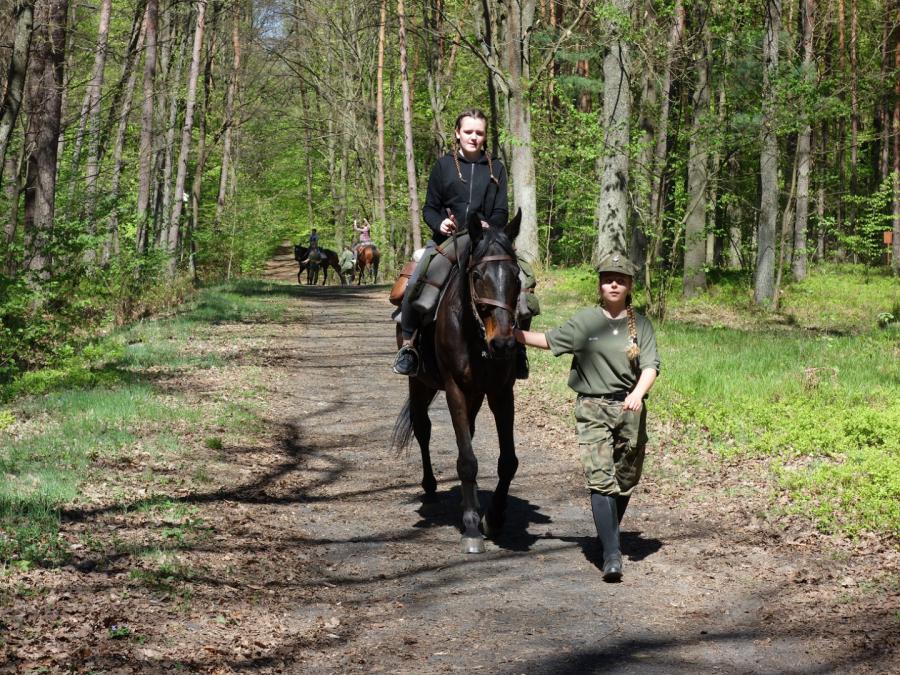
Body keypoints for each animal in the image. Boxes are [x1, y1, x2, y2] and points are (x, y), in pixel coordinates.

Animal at [391, 210, 522, 554]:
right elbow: (467, 461)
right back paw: (430, 487)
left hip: (475, 395)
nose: (503, 344)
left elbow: (508, 461)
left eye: (517, 276)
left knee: (469, 432)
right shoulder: (455, 390)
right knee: (422, 428)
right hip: (420, 383)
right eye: (477, 276)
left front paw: (494, 519)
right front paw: (472, 528)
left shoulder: (501, 393)